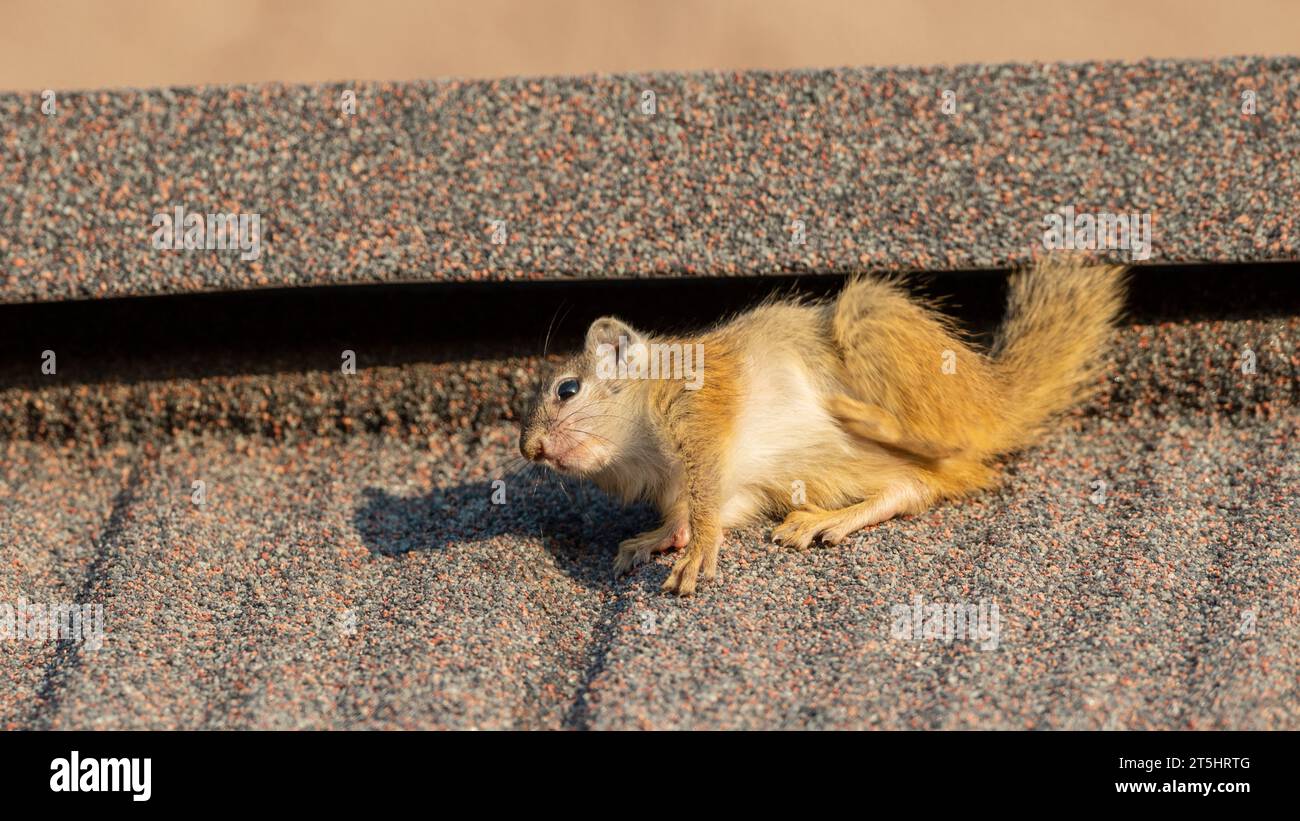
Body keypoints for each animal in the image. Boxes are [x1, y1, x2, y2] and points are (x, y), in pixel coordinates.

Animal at [519, 258, 1127, 595]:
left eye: (567, 389)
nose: (530, 449)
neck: (643, 447)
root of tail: (993, 402)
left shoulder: (703, 408)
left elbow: (706, 499)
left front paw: (697, 555)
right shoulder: (728, 487)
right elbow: (696, 510)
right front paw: (659, 538)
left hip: (875, 326)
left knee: (952, 446)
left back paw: (869, 417)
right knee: (916, 486)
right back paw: (823, 521)